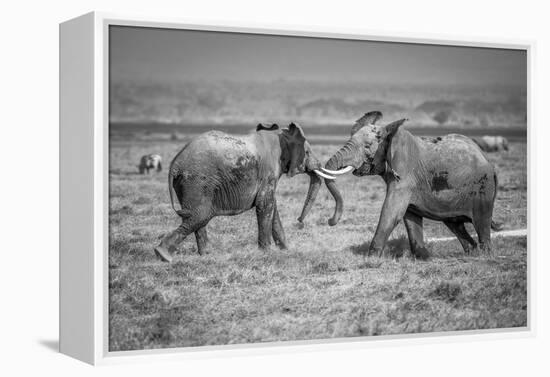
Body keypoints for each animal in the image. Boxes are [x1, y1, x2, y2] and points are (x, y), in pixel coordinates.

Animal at [153, 122, 334, 262]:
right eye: (307, 152)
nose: (299, 221)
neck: (280, 135)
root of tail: (175, 163)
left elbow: (271, 206)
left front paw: (285, 250)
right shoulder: (268, 171)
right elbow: (265, 205)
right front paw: (267, 253)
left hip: (187, 182)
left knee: (196, 216)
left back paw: (206, 255)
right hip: (196, 180)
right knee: (200, 215)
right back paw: (163, 255)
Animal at [300, 111, 502, 258]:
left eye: (367, 146)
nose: (330, 221)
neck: (391, 134)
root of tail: (487, 161)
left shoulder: (405, 175)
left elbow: (392, 211)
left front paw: (371, 259)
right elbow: (409, 216)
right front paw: (423, 257)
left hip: (482, 189)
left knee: (481, 222)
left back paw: (484, 255)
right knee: (455, 224)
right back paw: (471, 252)